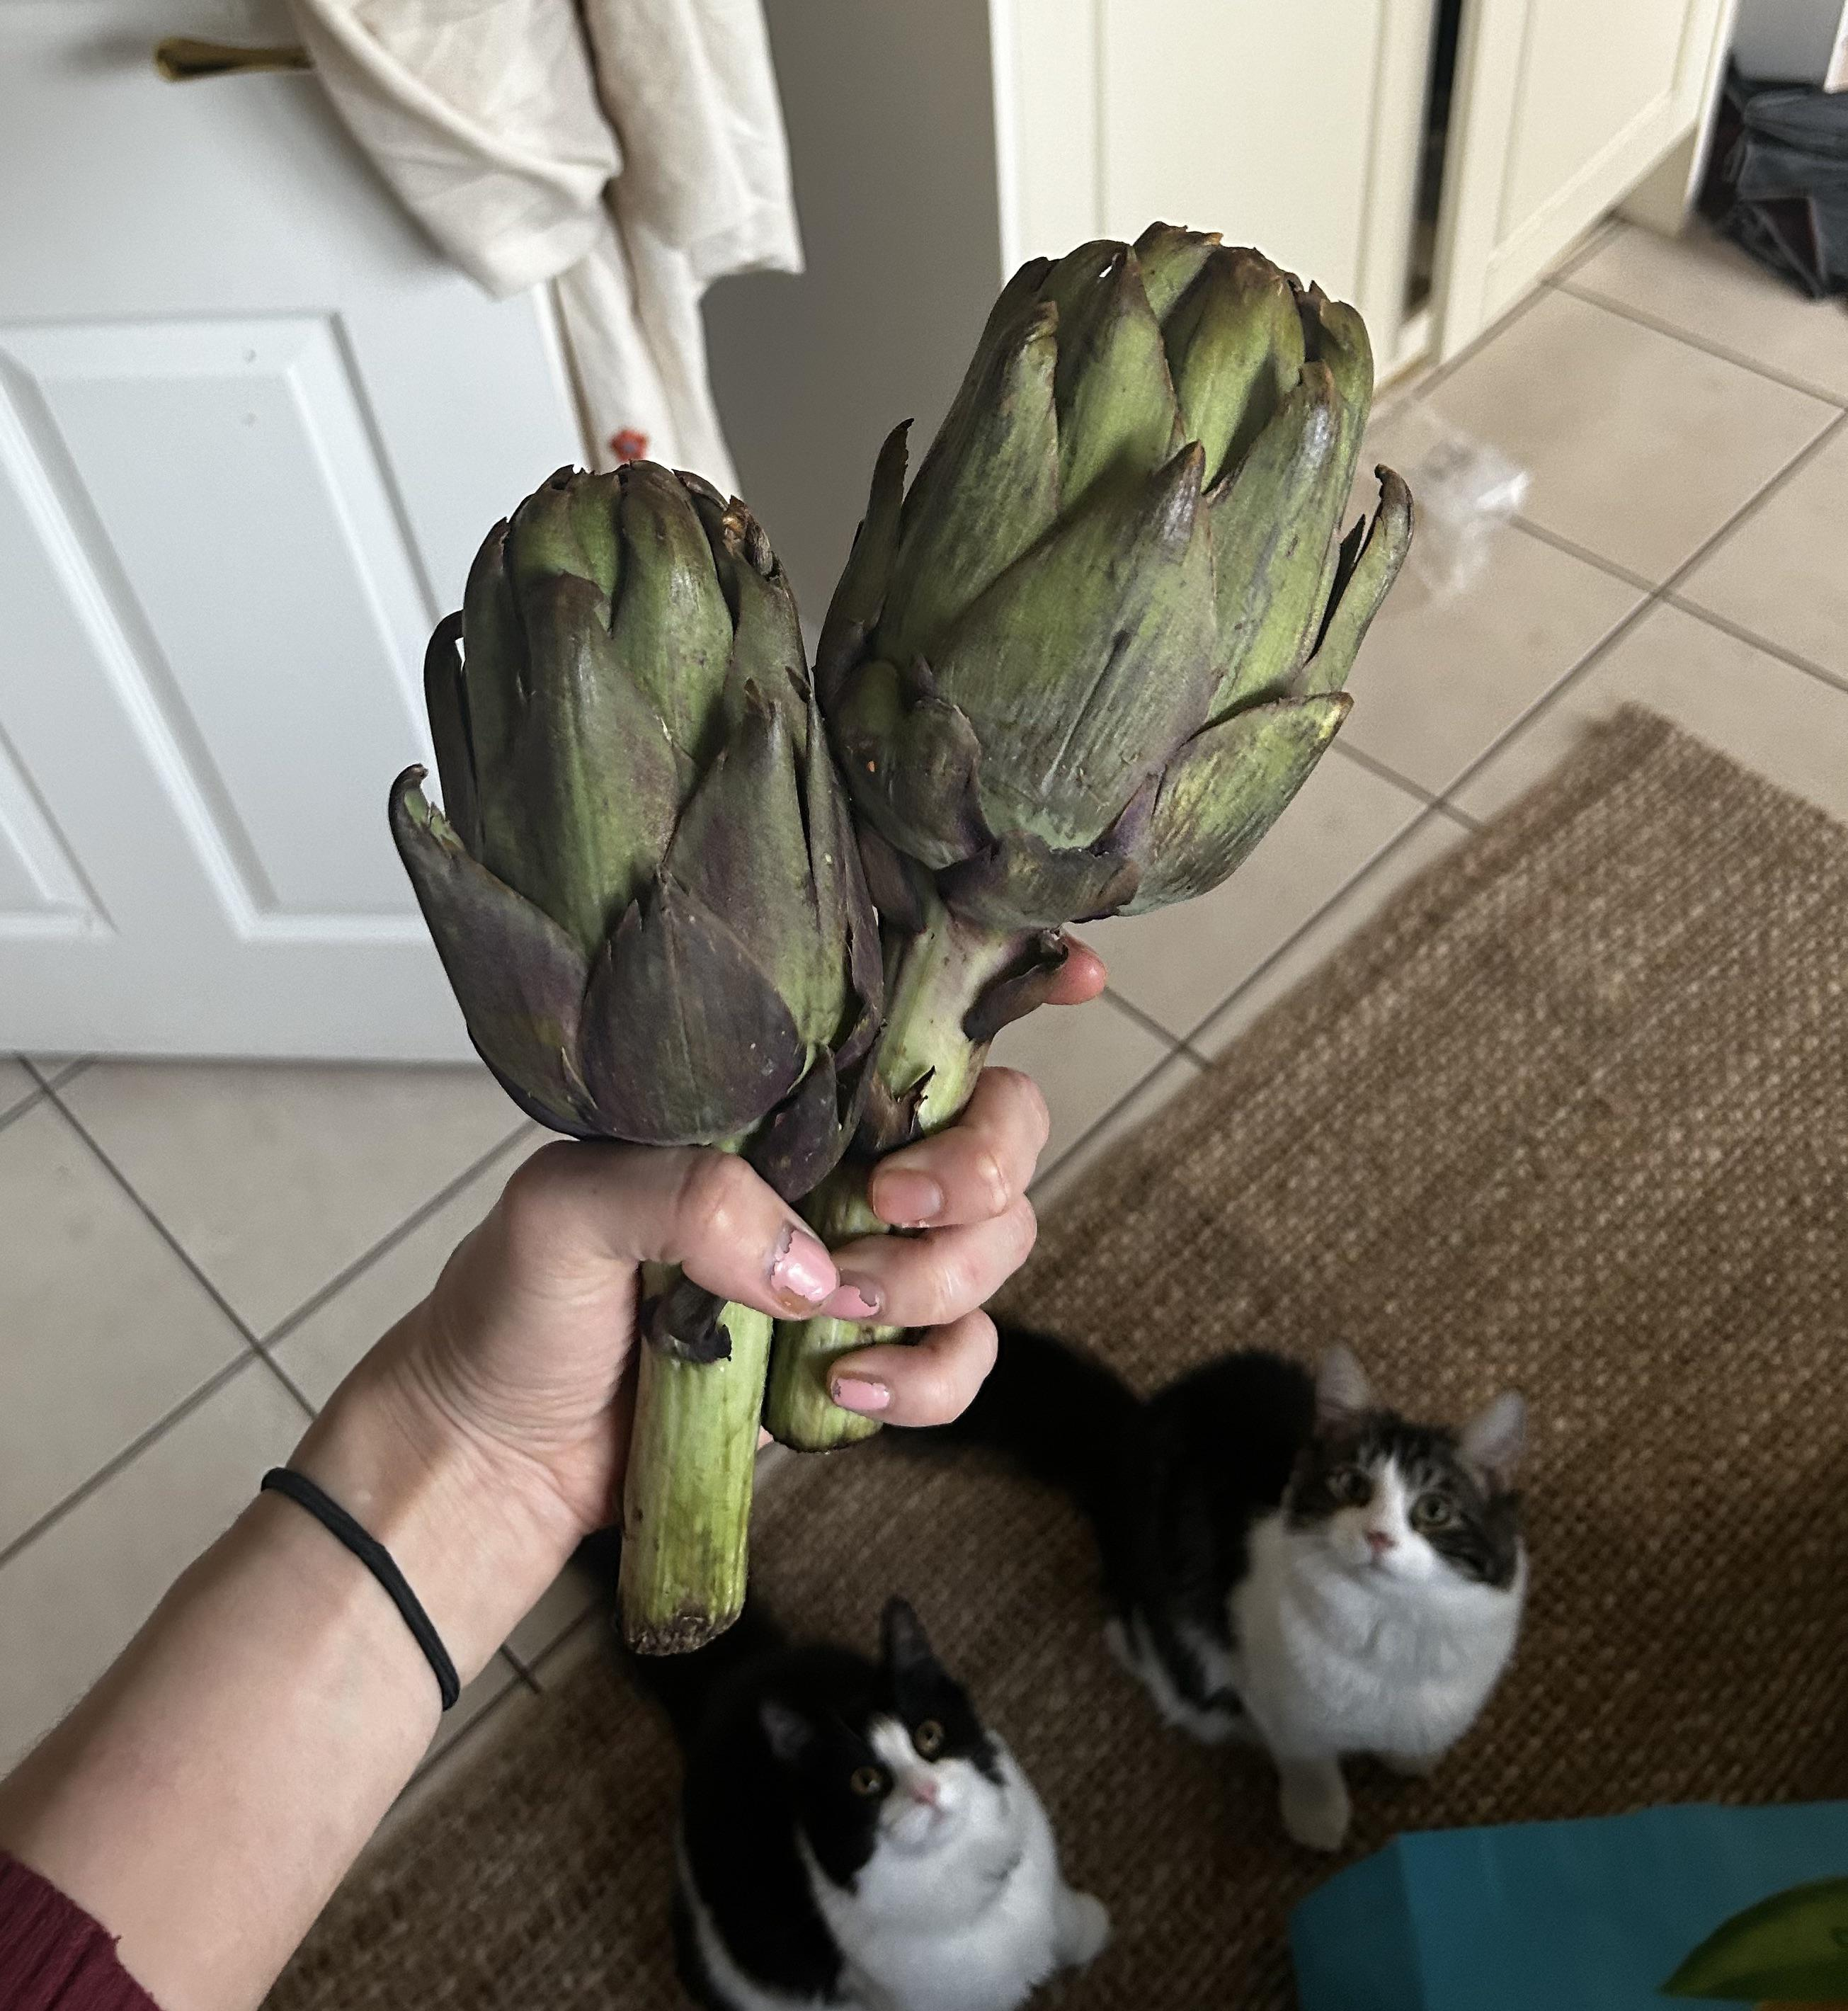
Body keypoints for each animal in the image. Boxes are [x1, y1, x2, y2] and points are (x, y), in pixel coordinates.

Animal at [616, 1574, 1111, 2011]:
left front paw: (1090, 1931)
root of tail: (728, 1679)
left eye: (929, 1736)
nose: (927, 1791)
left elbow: (1060, 1915)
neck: (959, 1872)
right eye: (866, 1781)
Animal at [915, 1325, 1527, 1852]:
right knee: (1142, 1647)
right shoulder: (1271, 1690)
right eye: (1350, 1485)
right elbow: (1307, 1759)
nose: (1378, 1536)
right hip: (1172, 1624)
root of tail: (1131, 1430)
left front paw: (1411, 1760)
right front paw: (1317, 1817)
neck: (1392, 1623)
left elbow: (1415, 1739)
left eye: (1434, 1510)